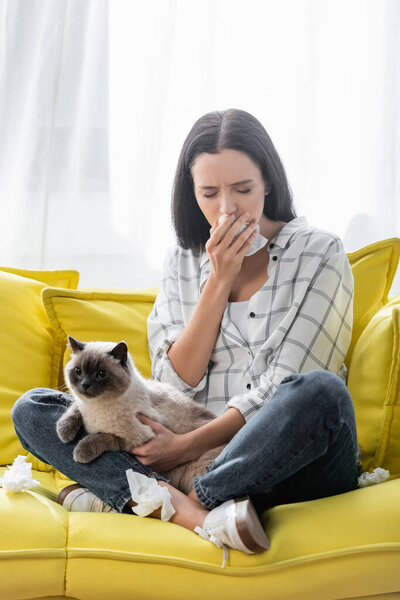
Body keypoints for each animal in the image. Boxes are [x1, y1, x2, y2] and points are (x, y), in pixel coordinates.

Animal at [56, 336, 227, 494]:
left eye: (101, 374)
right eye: (78, 371)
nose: (85, 385)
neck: (96, 406)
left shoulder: (135, 440)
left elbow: (103, 437)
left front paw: (80, 452)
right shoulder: (81, 405)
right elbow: (73, 410)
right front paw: (64, 434)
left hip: (194, 472)